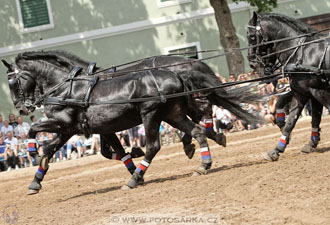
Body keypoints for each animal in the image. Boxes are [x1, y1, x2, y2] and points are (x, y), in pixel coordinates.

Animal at [1, 50, 260, 193]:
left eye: (12, 82)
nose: (22, 108)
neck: (66, 87)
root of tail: (176, 72)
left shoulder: (64, 124)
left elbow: (33, 132)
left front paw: (32, 152)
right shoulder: (80, 128)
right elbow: (54, 149)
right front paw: (35, 181)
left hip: (151, 114)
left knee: (156, 145)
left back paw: (135, 179)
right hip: (173, 114)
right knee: (197, 128)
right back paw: (203, 162)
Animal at [246, 12, 328, 161]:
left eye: (252, 36)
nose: (252, 64)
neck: (303, 52)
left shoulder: (319, 91)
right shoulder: (303, 93)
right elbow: (293, 119)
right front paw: (278, 148)